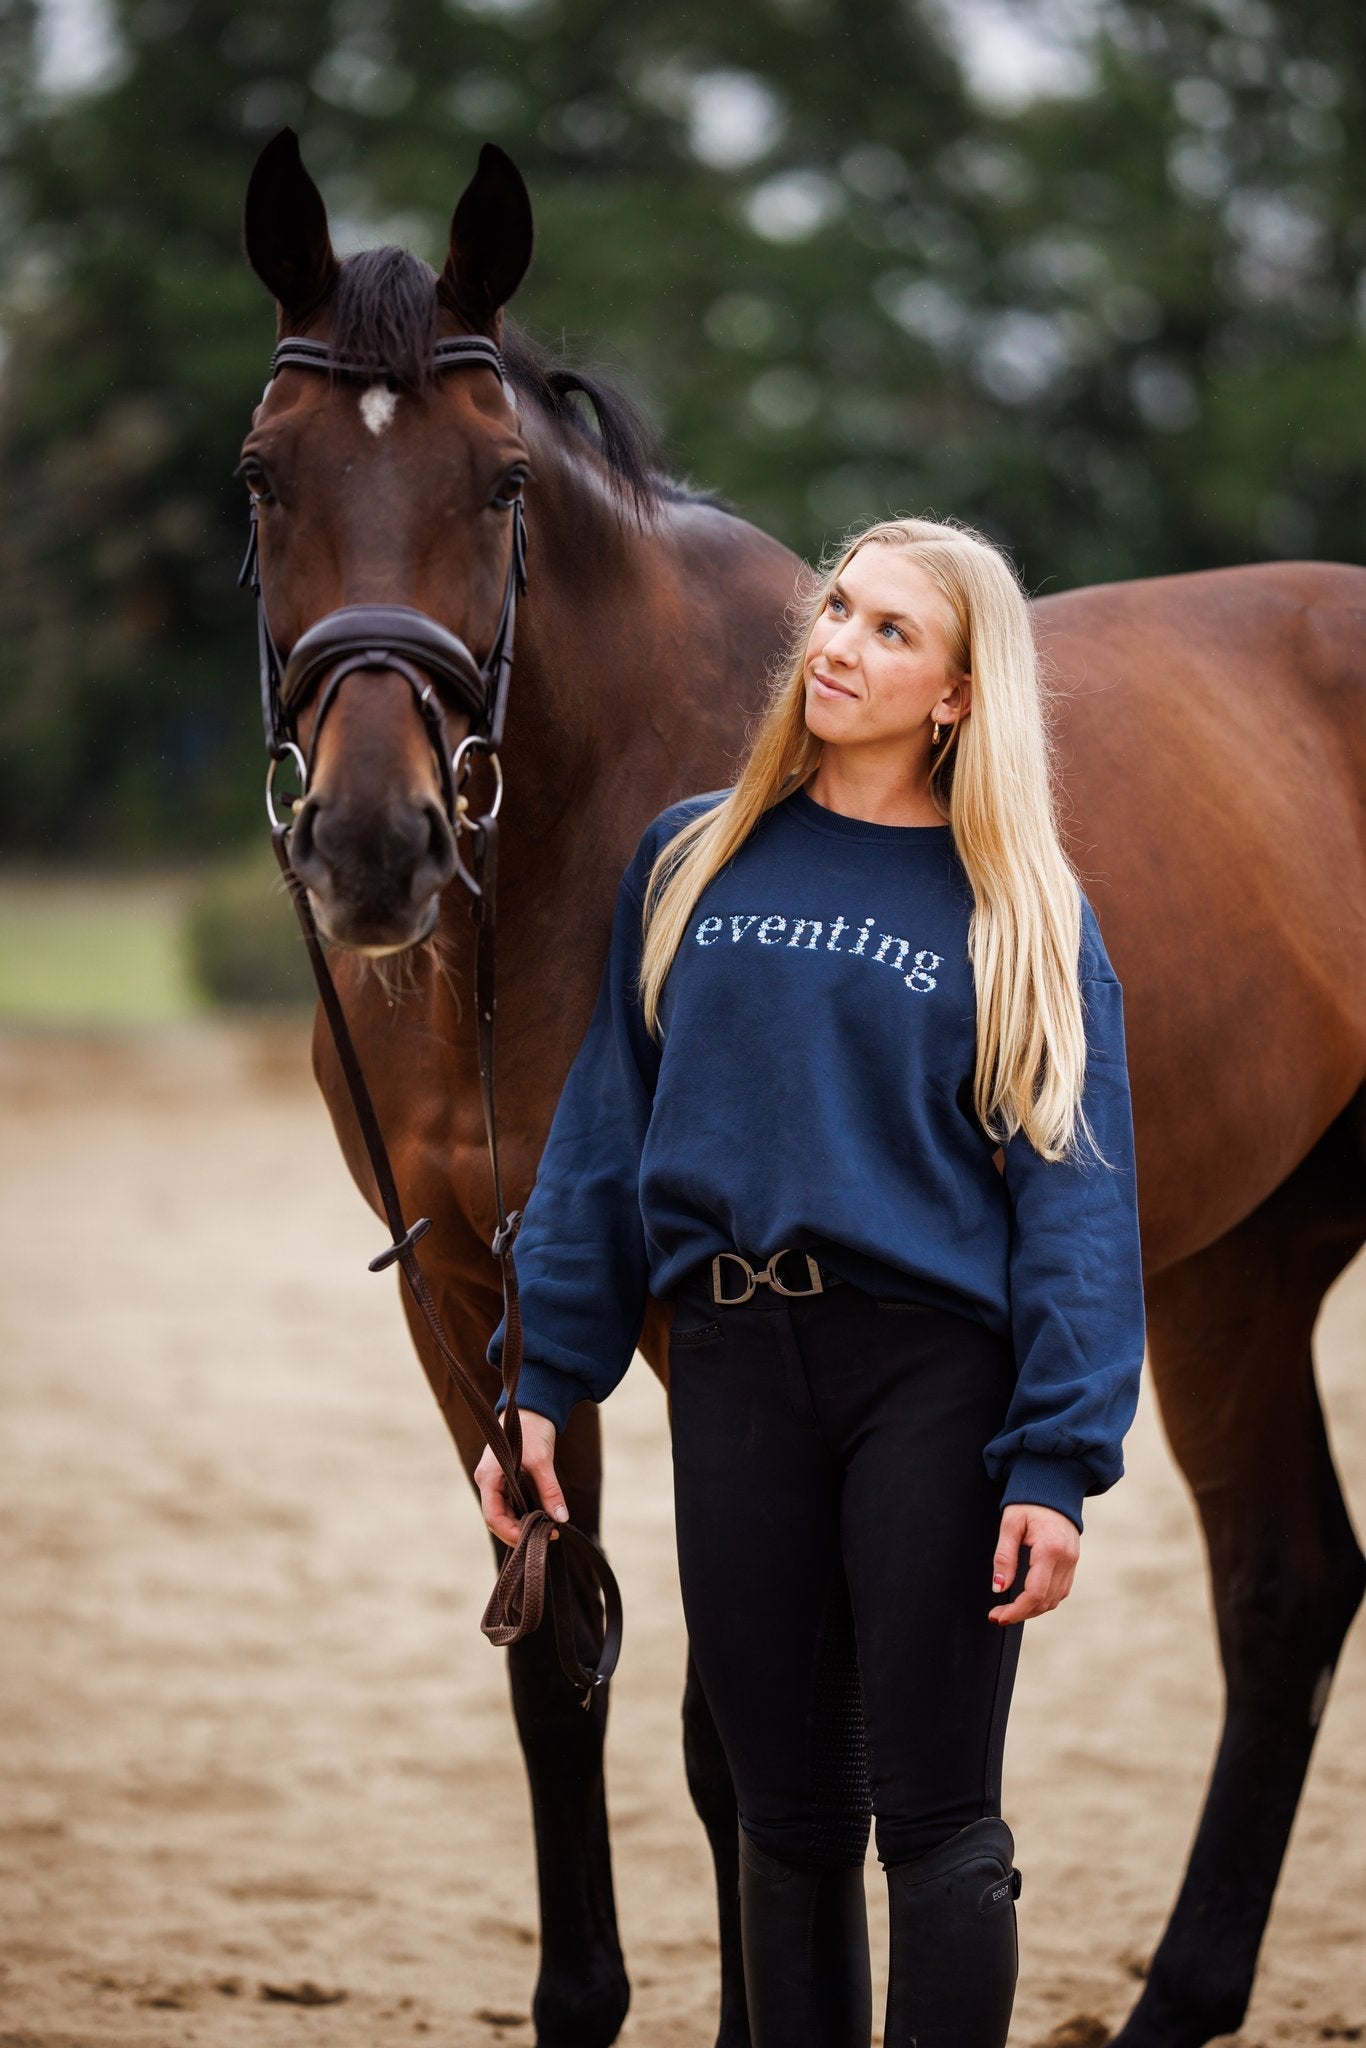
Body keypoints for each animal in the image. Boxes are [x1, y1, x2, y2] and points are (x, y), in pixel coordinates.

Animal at [242, 132, 1366, 2048]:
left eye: (500, 483)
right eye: (261, 477)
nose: (374, 845)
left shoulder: (691, 1312)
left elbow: (734, 1739)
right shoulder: (472, 1299)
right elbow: (557, 1664)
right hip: (1238, 1264)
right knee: (1287, 1584)